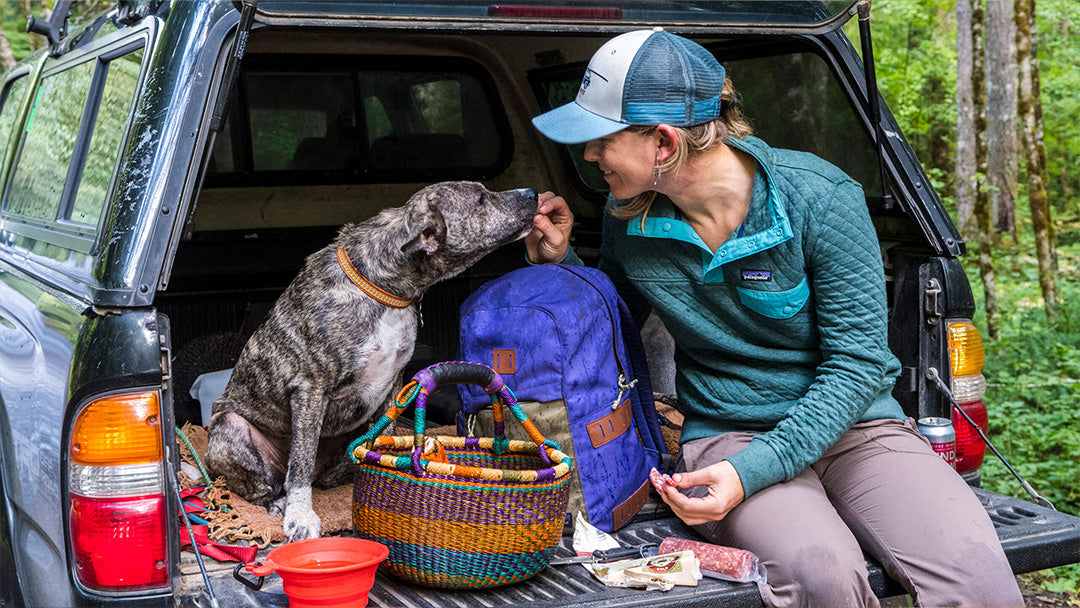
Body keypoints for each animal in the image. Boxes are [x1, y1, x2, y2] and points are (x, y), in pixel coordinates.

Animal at [203, 182, 540, 542]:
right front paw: (301, 516)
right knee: (265, 487)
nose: (532, 192)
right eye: (480, 199)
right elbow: (301, 465)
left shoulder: (396, 385)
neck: (384, 289)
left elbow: (385, 435)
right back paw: (278, 504)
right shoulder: (310, 388)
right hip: (231, 430)